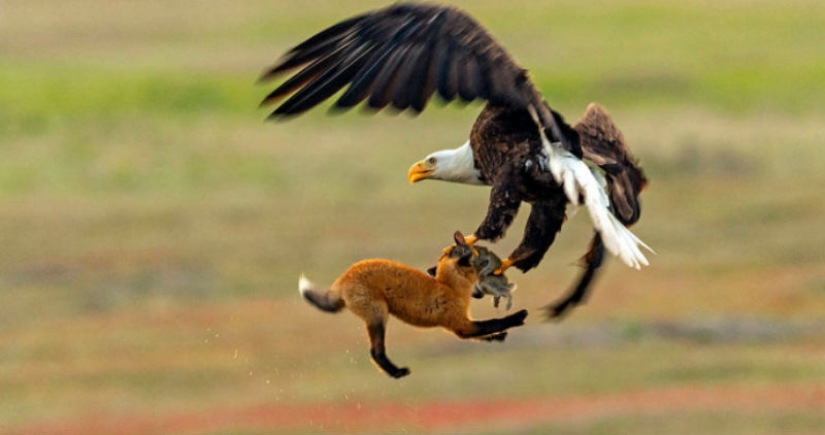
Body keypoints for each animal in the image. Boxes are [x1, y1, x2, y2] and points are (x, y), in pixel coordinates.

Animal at [299, 232, 529, 378]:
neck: (448, 286)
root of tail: (343, 278)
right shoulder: (460, 324)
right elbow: (494, 322)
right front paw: (518, 317)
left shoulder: (461, 326)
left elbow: (483, 334)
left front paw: (498, 338)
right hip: (378, 316)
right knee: (375, 353)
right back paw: (396, 373)